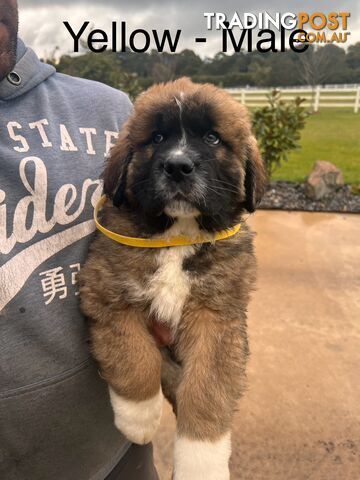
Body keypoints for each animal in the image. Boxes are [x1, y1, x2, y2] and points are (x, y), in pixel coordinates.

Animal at [79, 77, 264, 478]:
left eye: (212, 138)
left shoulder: (217, 316)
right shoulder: (106, 293)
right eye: (157, 137)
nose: (178, 166)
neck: (178, 234)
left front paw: (201, 460)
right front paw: (139, 417)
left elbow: (207, 388)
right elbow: (135, 358)